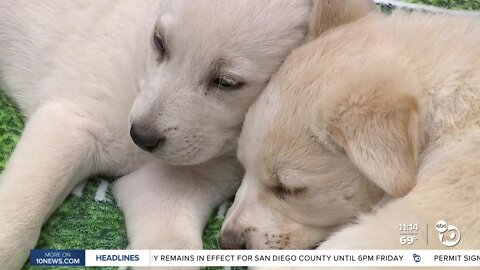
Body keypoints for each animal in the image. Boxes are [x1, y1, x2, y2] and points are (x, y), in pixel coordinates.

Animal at [0, 0, 376, 268]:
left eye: (226, 82)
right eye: (159, 42)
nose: (141, 136)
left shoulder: (169, 185)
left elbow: (172, 246)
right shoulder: (71, 122)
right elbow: (18, 214)